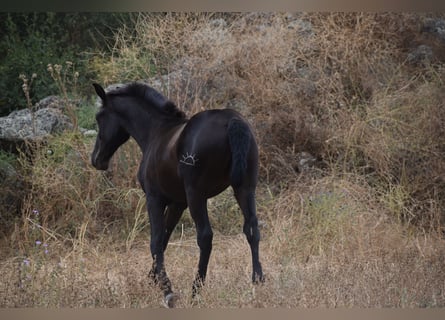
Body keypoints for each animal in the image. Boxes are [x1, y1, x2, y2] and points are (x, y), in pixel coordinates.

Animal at [91, 82, 262, 308]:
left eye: (99, 117)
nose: (96, 159)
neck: (156, 133)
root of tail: (232, 121)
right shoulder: (177, 203)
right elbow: (164, 238)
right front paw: (153, 278)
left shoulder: (155, 198)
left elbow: (156, 241)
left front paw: (167, 290)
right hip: (244, 188)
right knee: (252, 228)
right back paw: (258, 280)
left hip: (196, 194)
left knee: (205, 237)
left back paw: (196, 290)